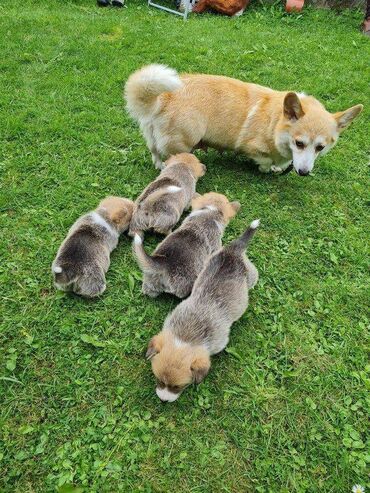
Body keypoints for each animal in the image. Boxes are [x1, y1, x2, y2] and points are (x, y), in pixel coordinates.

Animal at [125, 63, 362, 175]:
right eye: (299, 143)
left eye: (320, 147)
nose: (303, 173)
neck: (276, 123)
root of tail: (164, 98)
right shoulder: (251, 148)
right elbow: (264, 160)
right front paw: (267, 169)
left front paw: (278, 168)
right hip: (185, 141)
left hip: (152, 137)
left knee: (155, 152)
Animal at [146, 218, 258, 400]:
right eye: (159, 380)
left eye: (177, 387)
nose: (163, 400)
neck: (187, 335)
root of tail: (233, 250)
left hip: (252, 275)